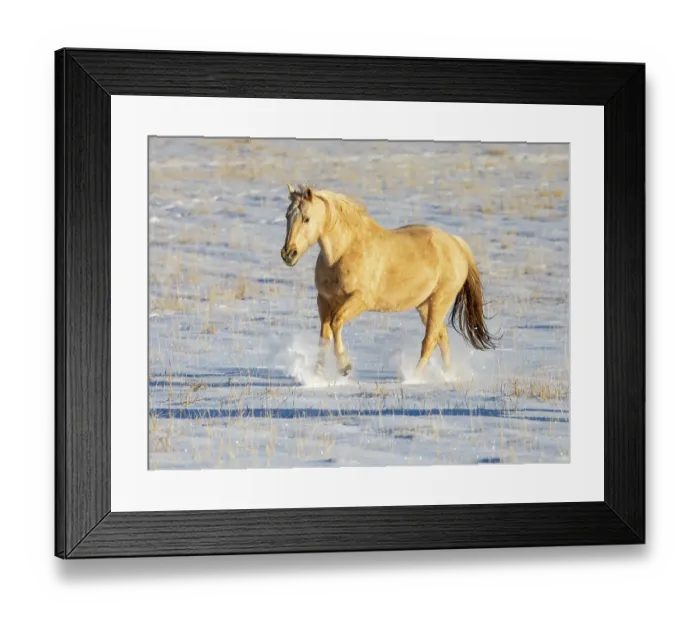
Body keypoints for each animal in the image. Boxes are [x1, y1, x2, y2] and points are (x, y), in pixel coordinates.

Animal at [280, 184, 496, 378]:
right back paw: (447, 375)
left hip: (439, 301)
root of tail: (456, 244)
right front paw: (316, 377)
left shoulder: (360, 300)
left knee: (430, 340)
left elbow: (336, 323)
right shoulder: (324, 301)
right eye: (287, 216)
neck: (344, 252)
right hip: (425, 305)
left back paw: (413, 378)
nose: (288, 254)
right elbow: (324, 338)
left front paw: (344, 367)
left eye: (306, 218)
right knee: (441, 336)